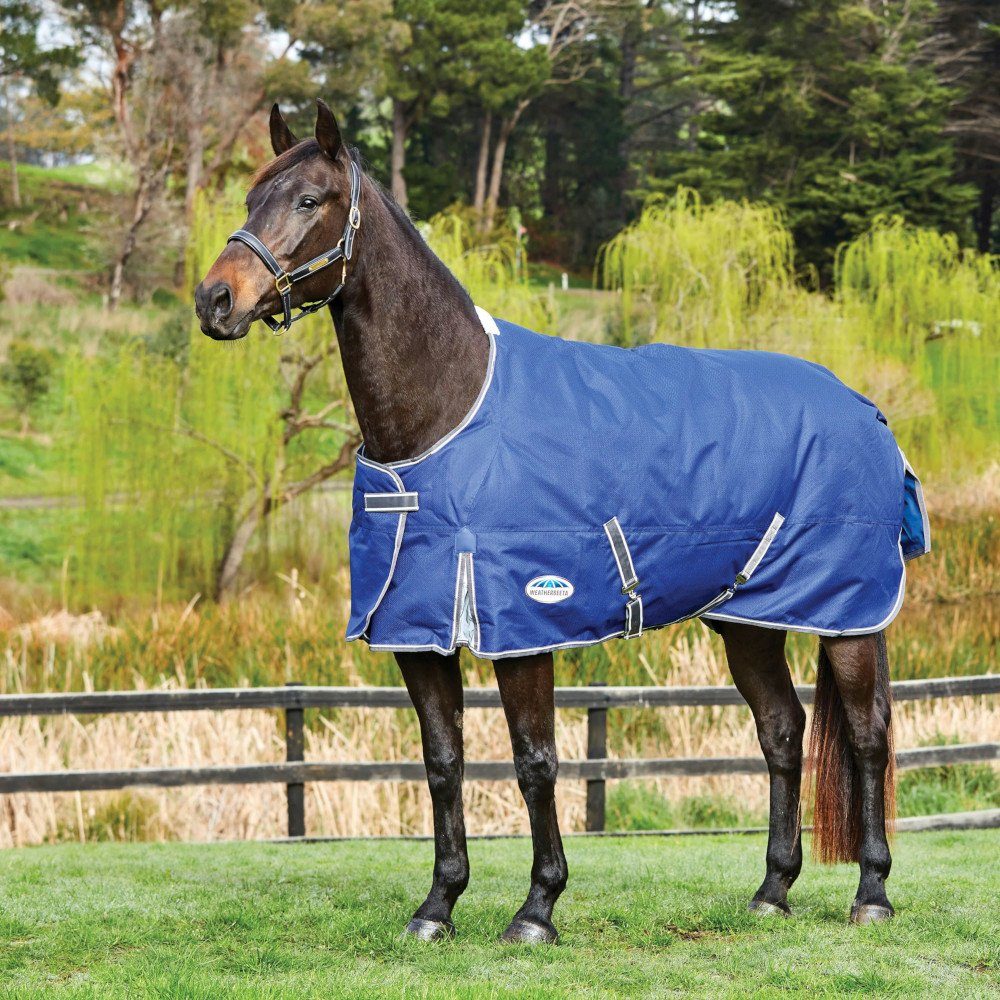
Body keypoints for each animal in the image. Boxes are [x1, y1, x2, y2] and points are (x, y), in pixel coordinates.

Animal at [195, 100, 920, 943]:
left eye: (309, 200)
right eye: (252, 198)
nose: (214, 301)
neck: (446, 414)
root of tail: (866, 409)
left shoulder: (523, 624)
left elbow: (534, 759)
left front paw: (537, 907)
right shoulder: (415, 628)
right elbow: (442, 761)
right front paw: (438, 906)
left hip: (849, 616)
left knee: (868, 735)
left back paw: (872, 893)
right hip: (748, 619)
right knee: (781, 731)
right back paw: (772, 890)